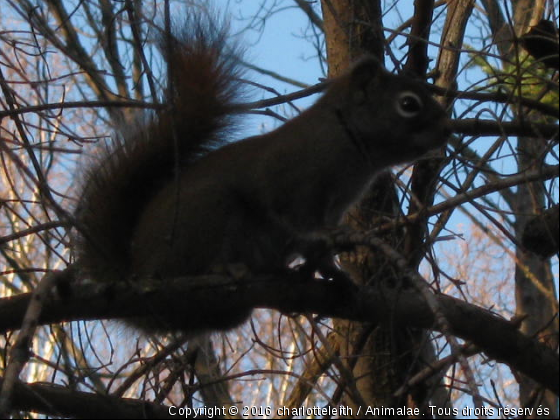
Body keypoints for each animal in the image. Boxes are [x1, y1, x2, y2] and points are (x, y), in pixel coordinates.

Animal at [74, 17, 450, 338]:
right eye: (409, 104)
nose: (446, 129)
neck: (348, 141)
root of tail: (140, 274)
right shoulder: (294, 181)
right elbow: (295, 217)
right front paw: (330, 245)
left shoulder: (335, 204)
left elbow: (318, 251)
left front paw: (334, 275)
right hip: (206, 215)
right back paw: (227, 269)